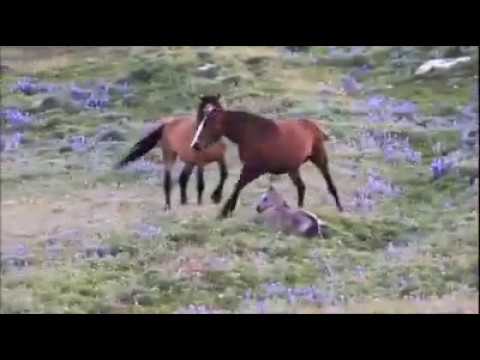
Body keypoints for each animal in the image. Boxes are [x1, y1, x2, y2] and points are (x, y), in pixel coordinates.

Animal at [189, 95, 344, 218]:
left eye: (209, 124)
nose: (195, 145)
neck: (249, 134)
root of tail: (314, 126)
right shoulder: (250, 168)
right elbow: (237, 186)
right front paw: (226, 209)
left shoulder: (255, 169)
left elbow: (238, 186)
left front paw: (224, 210)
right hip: (293, 168)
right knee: (301, 187)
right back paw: (300, 209)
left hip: (319, 158)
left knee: (330, 184)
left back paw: (340, 209)